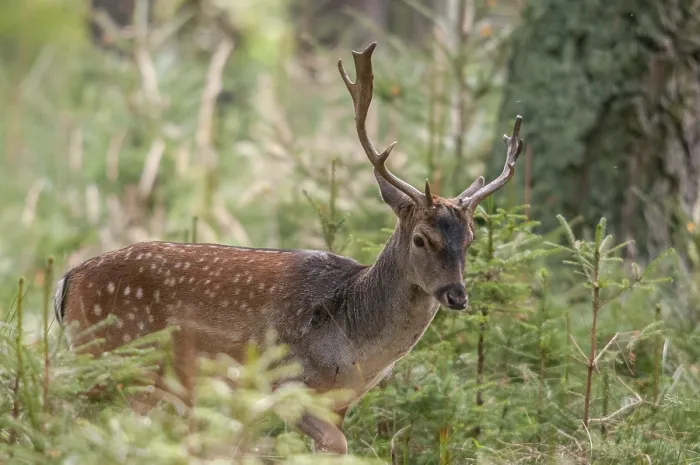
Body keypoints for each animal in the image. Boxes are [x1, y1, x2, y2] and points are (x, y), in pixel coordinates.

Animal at [53, 42, 524, 455]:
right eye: (421, 238)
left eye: (471, 237)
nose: (457, 295)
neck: (356, 347)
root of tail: (68, 280)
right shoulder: (282, 384)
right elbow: (336, 445)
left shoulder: (339, 401)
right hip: (109, 358)